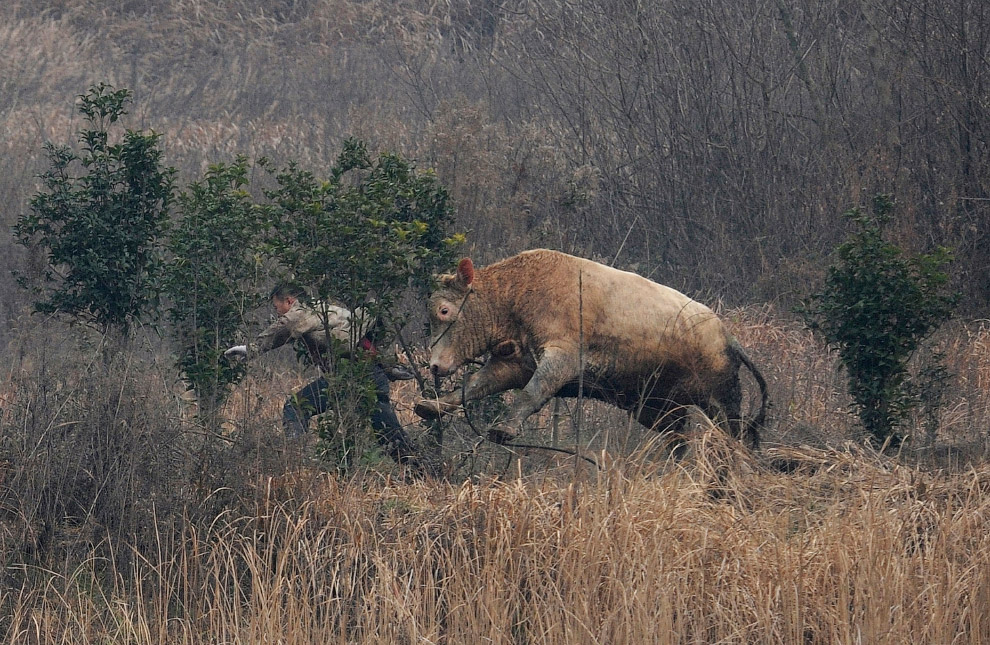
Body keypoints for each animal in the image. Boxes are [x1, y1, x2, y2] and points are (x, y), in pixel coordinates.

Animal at [414, 250, 772, 448]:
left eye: (444, 310)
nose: (434, 366)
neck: (517, 295)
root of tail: (729, 338)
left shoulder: (563, 357)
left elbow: (532, 392)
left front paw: (504, 429)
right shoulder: (514, 363)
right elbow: (474, 385)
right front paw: (433, 405)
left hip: (721, 404)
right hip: (661, 410)